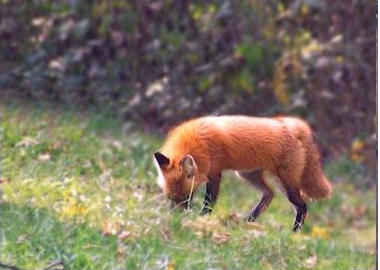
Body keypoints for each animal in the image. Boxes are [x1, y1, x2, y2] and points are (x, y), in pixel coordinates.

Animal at [153, 115, 332, 231]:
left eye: (186, 198)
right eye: (171, 199)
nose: (177, 218)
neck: (198, 142)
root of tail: (293, 125)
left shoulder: (215, 173)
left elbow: (208, 202)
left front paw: (202, 219)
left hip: (287, 183)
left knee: (302, 206)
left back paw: (294, 232)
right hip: (248, 175)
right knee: (269, 194)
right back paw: (248, 221)